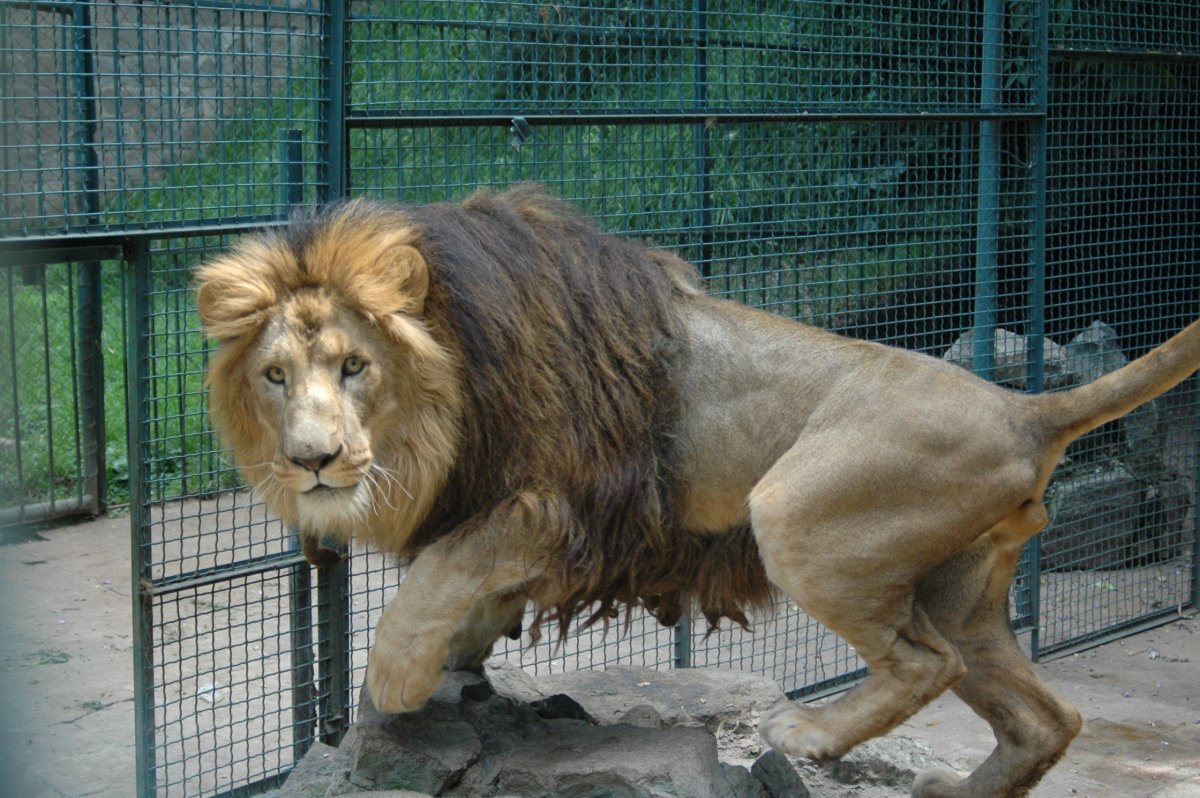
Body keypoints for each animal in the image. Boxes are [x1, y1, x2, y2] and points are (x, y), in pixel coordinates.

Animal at [195, 184, 1200, 797]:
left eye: (354, 366)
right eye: (275, 376)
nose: (313, 460)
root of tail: (1023, 406)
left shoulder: (556, 502)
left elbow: (434, 579)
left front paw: (397, 682)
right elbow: (471, 593)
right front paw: (463, 661)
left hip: (796, 516)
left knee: (925, 663)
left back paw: (806, 737)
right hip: (963, 588)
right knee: (1045, 717)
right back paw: (959, 787)